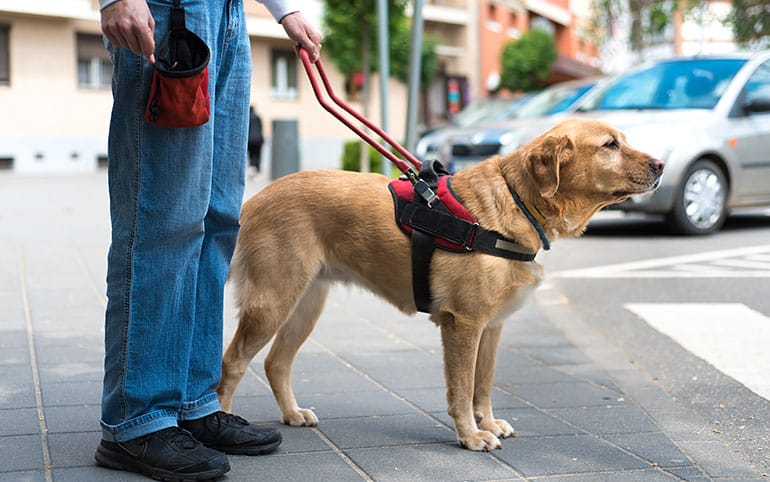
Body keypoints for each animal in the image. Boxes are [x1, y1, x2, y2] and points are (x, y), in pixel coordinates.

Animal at [216, 118, 660, 450]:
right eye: (610, 145)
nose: (660, 165)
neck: (516, 202)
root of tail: (255, 200)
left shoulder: (491, 327)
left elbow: (483, 384)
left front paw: (488, 423)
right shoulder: (462, 324)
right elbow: (461, 390)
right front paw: (471, 436)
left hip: (305, 305)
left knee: (276, 363)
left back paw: (292, 413)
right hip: (272, 301)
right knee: (233, 361)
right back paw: (222, 421)